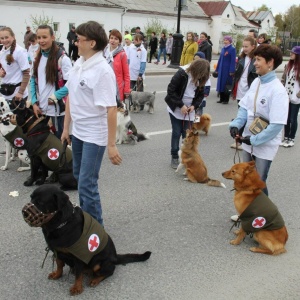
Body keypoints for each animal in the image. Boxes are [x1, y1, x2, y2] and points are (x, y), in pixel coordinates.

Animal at [22, 185, 151, 296]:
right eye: (31, 197)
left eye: (40, 202)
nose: (23, 212)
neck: (60, 224)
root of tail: (115, 257)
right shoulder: (57, 251)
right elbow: (59, 264)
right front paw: (57, 274)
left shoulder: (79, 256)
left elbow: (78, 275)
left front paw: (77, 287)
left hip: (100, 264)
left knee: (109, 271)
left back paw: (95, 279)